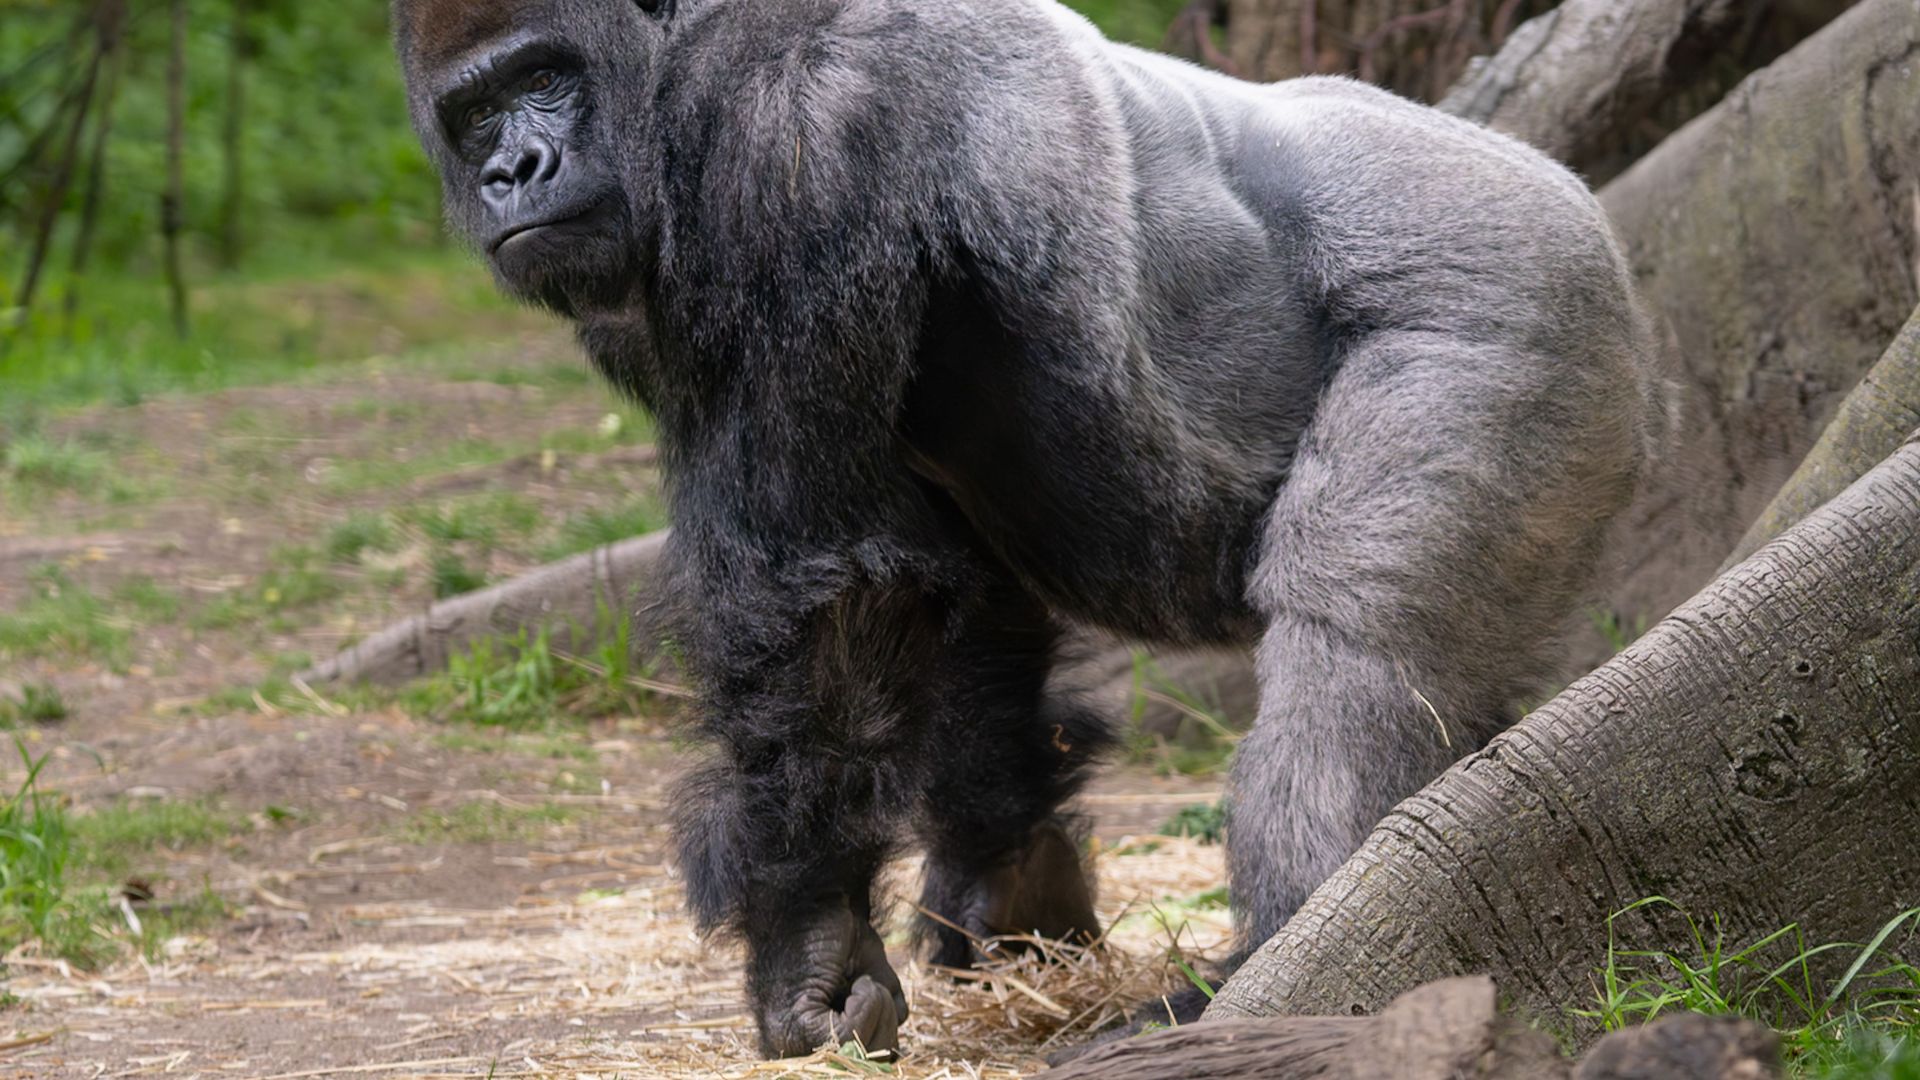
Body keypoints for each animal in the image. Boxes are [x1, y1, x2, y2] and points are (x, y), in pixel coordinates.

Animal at [394, 0, 1666, 1058]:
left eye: (544, 77)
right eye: (474, 113)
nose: (512, 168)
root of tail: (1581, 204)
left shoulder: (785, 131)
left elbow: (822, 590)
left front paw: (808, 940)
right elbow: (949, 593)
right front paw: (1009, 888)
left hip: (1517, 294)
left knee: (1361, 643)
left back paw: (1279, 958)